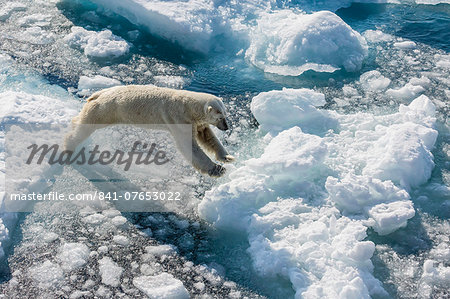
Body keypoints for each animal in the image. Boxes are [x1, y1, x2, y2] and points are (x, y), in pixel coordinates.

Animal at [67, 84, 237, 177]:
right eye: (220, 117)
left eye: (225, 115)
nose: (226, 127)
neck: (188, 105)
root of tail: (97, 94)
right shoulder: (179, 120)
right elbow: (189, 146)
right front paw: (218, 170)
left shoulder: (196, 122)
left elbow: (207, 137)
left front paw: (227, 157)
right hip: (105, 110)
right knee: (86, 126)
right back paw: (69, 148)